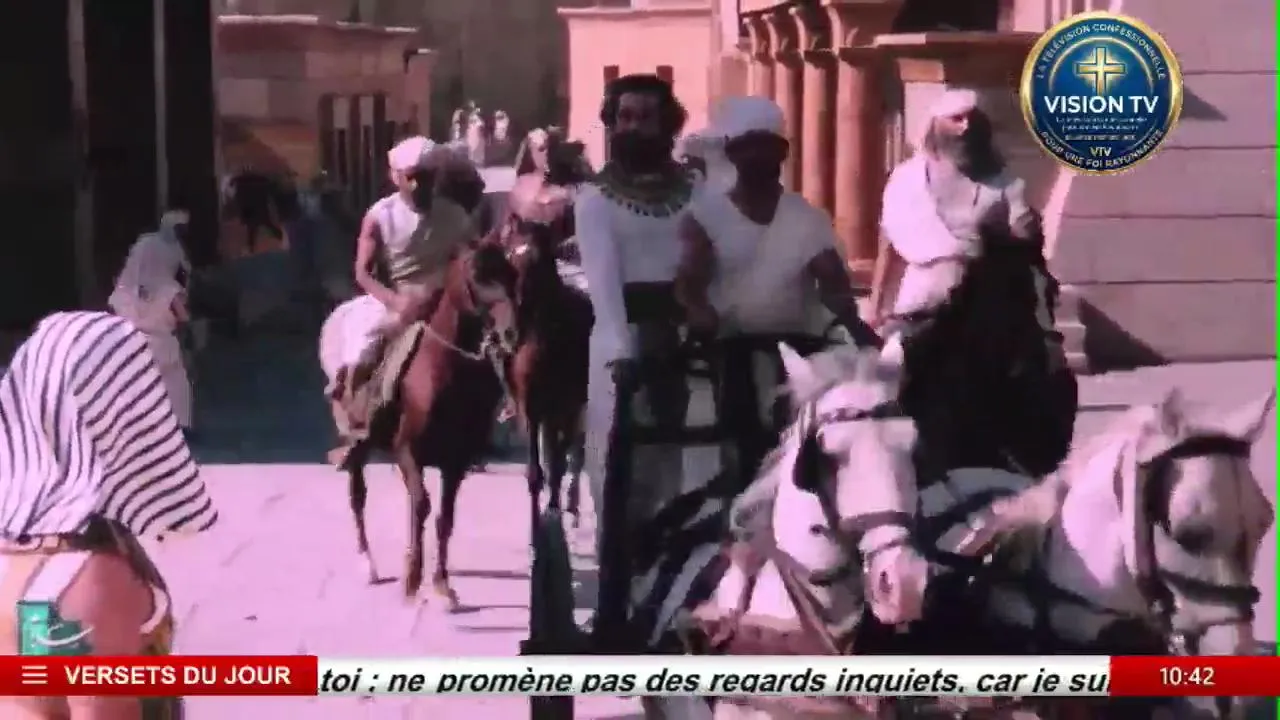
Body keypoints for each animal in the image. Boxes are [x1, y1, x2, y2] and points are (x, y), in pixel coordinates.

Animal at [318, 239, 519, 605]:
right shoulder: (408, 452)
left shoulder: (455, 461)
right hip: (355, 439)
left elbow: (444, 517)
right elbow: (422, 505)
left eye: (512, 272)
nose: (510, 332)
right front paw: (412, 577)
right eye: (477, 274)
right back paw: (368, 564)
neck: (443, 374)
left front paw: (441, 584)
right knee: (358, 495)